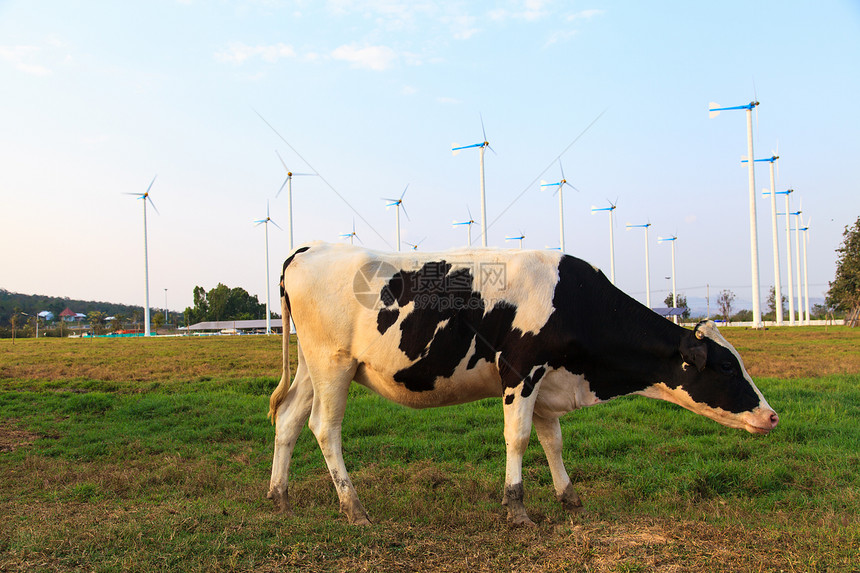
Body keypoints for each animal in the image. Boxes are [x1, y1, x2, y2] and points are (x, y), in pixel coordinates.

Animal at [268, 239, 780, 524]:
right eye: (727, 367)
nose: (772, 416)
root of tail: (307, 248)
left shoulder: (550, 384)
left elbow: (553, 442)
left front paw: (570, 499)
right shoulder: (521, 371)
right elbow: (517, 439)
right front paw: (517, 510)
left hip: (314, 368)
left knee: (289, 419)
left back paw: (280, 498)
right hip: (332, 364)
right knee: (324, 428)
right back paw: (354, 508)